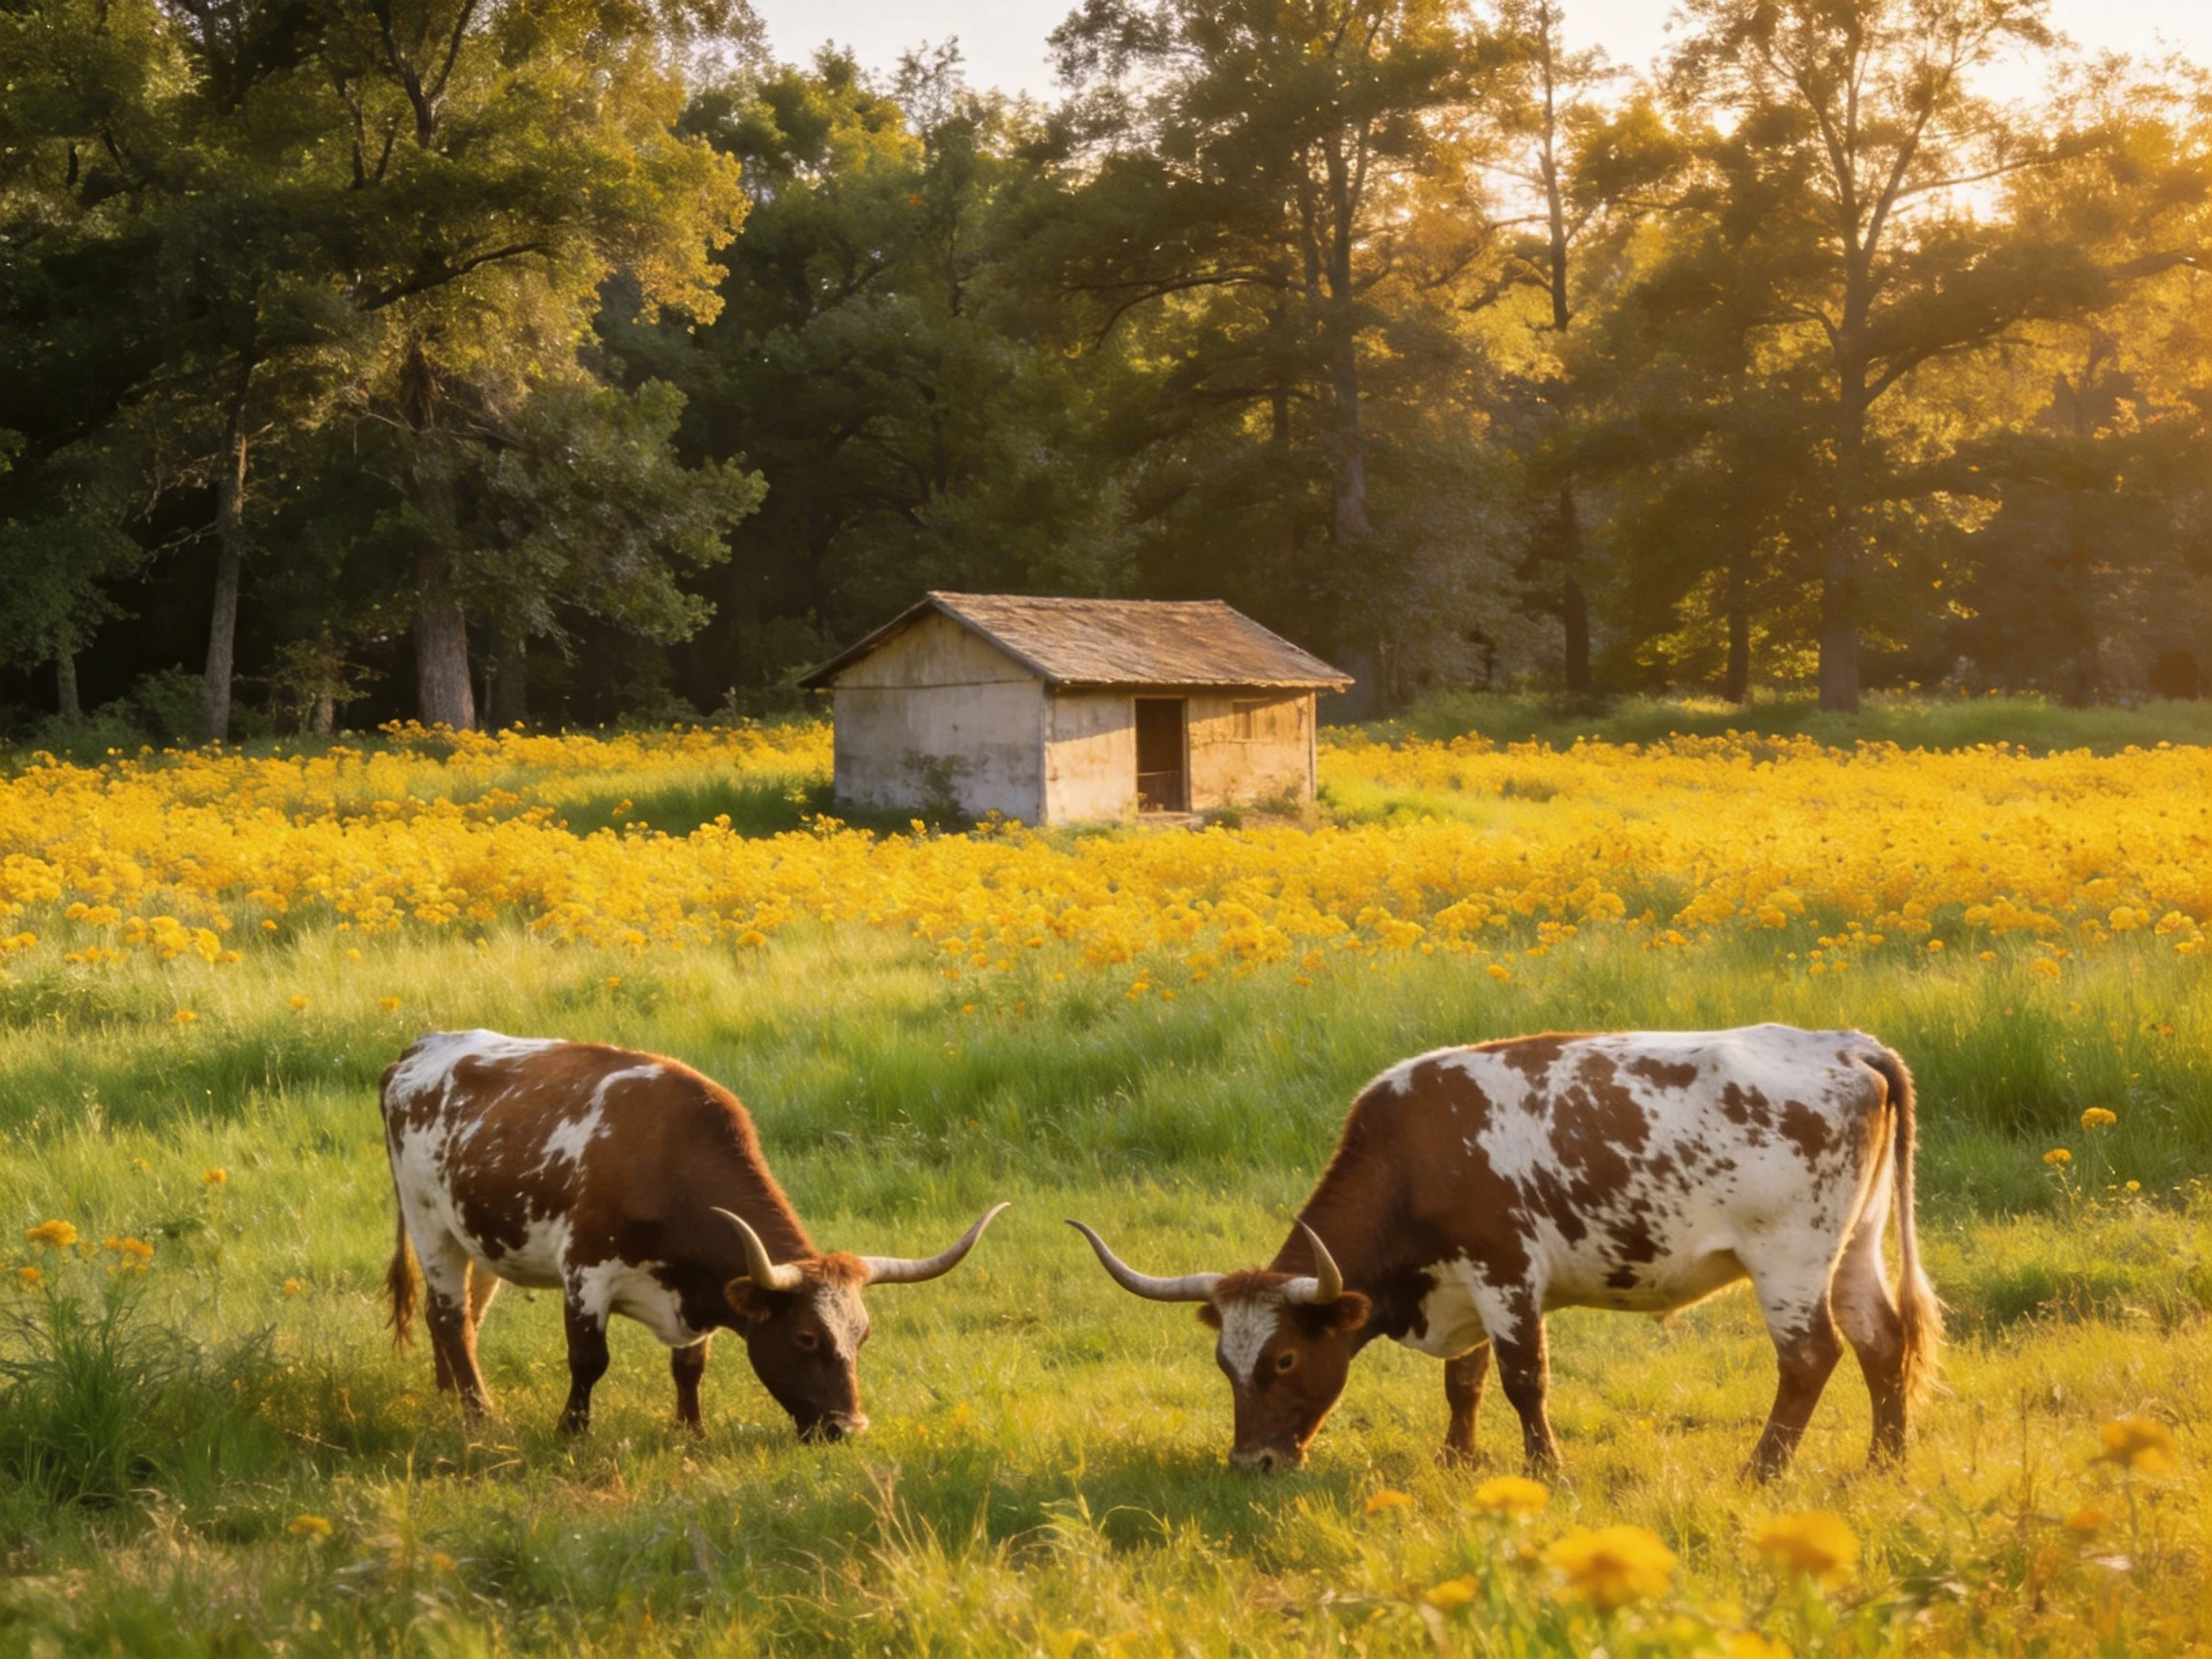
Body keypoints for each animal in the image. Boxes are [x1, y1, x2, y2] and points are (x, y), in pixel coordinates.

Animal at [381, 1029, 1007, 1441]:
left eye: (864, 1335)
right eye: (805, 1337)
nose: (849, 1428)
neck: (668, 1162)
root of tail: (420, 1048)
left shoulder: (699, 1291)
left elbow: (690, 1367)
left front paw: (690, 1432)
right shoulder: (586, 1273)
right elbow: (588, 1359)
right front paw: (572, 1432)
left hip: (480, 1239)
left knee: (467, 1317)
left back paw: (452, 1395)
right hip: (430, 1226)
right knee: (450, 1318)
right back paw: (479, 1413)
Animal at [1070, 1025, 1940, 1480]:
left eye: (1283, 1358)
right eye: (1224, 1361)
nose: (1251, 1464)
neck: (1414, 1155)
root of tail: (1847, 1046)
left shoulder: (1507, 1279)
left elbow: (1524, 1382)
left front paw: (1547, 1470)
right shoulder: (1464, 1288)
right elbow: (1466, 1381)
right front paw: (1458, 1460)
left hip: (1788, 1260)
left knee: (1811, 1356)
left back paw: (1761, 1471)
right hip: (1855, 1245)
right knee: (1881, 1339)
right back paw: (1886, 1463)